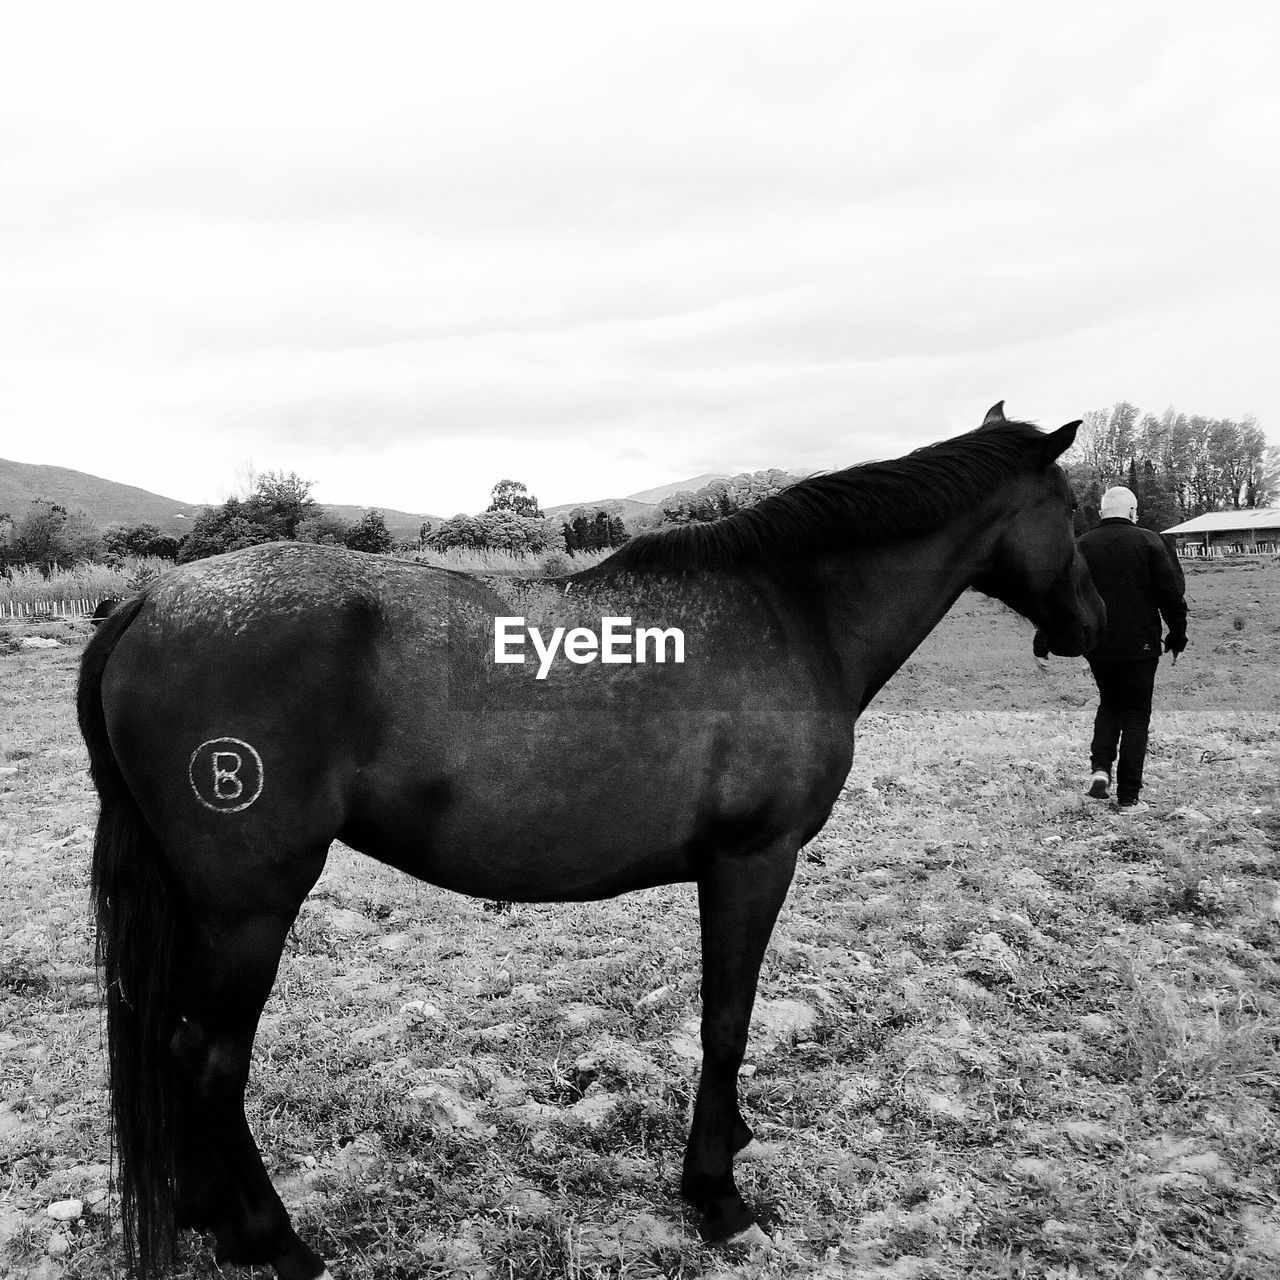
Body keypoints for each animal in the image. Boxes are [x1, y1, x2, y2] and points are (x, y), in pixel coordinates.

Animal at [77, 401, 1100, 1280]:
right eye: (1070, 507)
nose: (1090, 622)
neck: (791, 611)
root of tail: (148, 602)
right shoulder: (752, 864)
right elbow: (725, 1019)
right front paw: (717, 1195)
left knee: (176, 1044)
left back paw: (211, 1216)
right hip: (250, 907)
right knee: (209, 1058)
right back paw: (274, 1240)